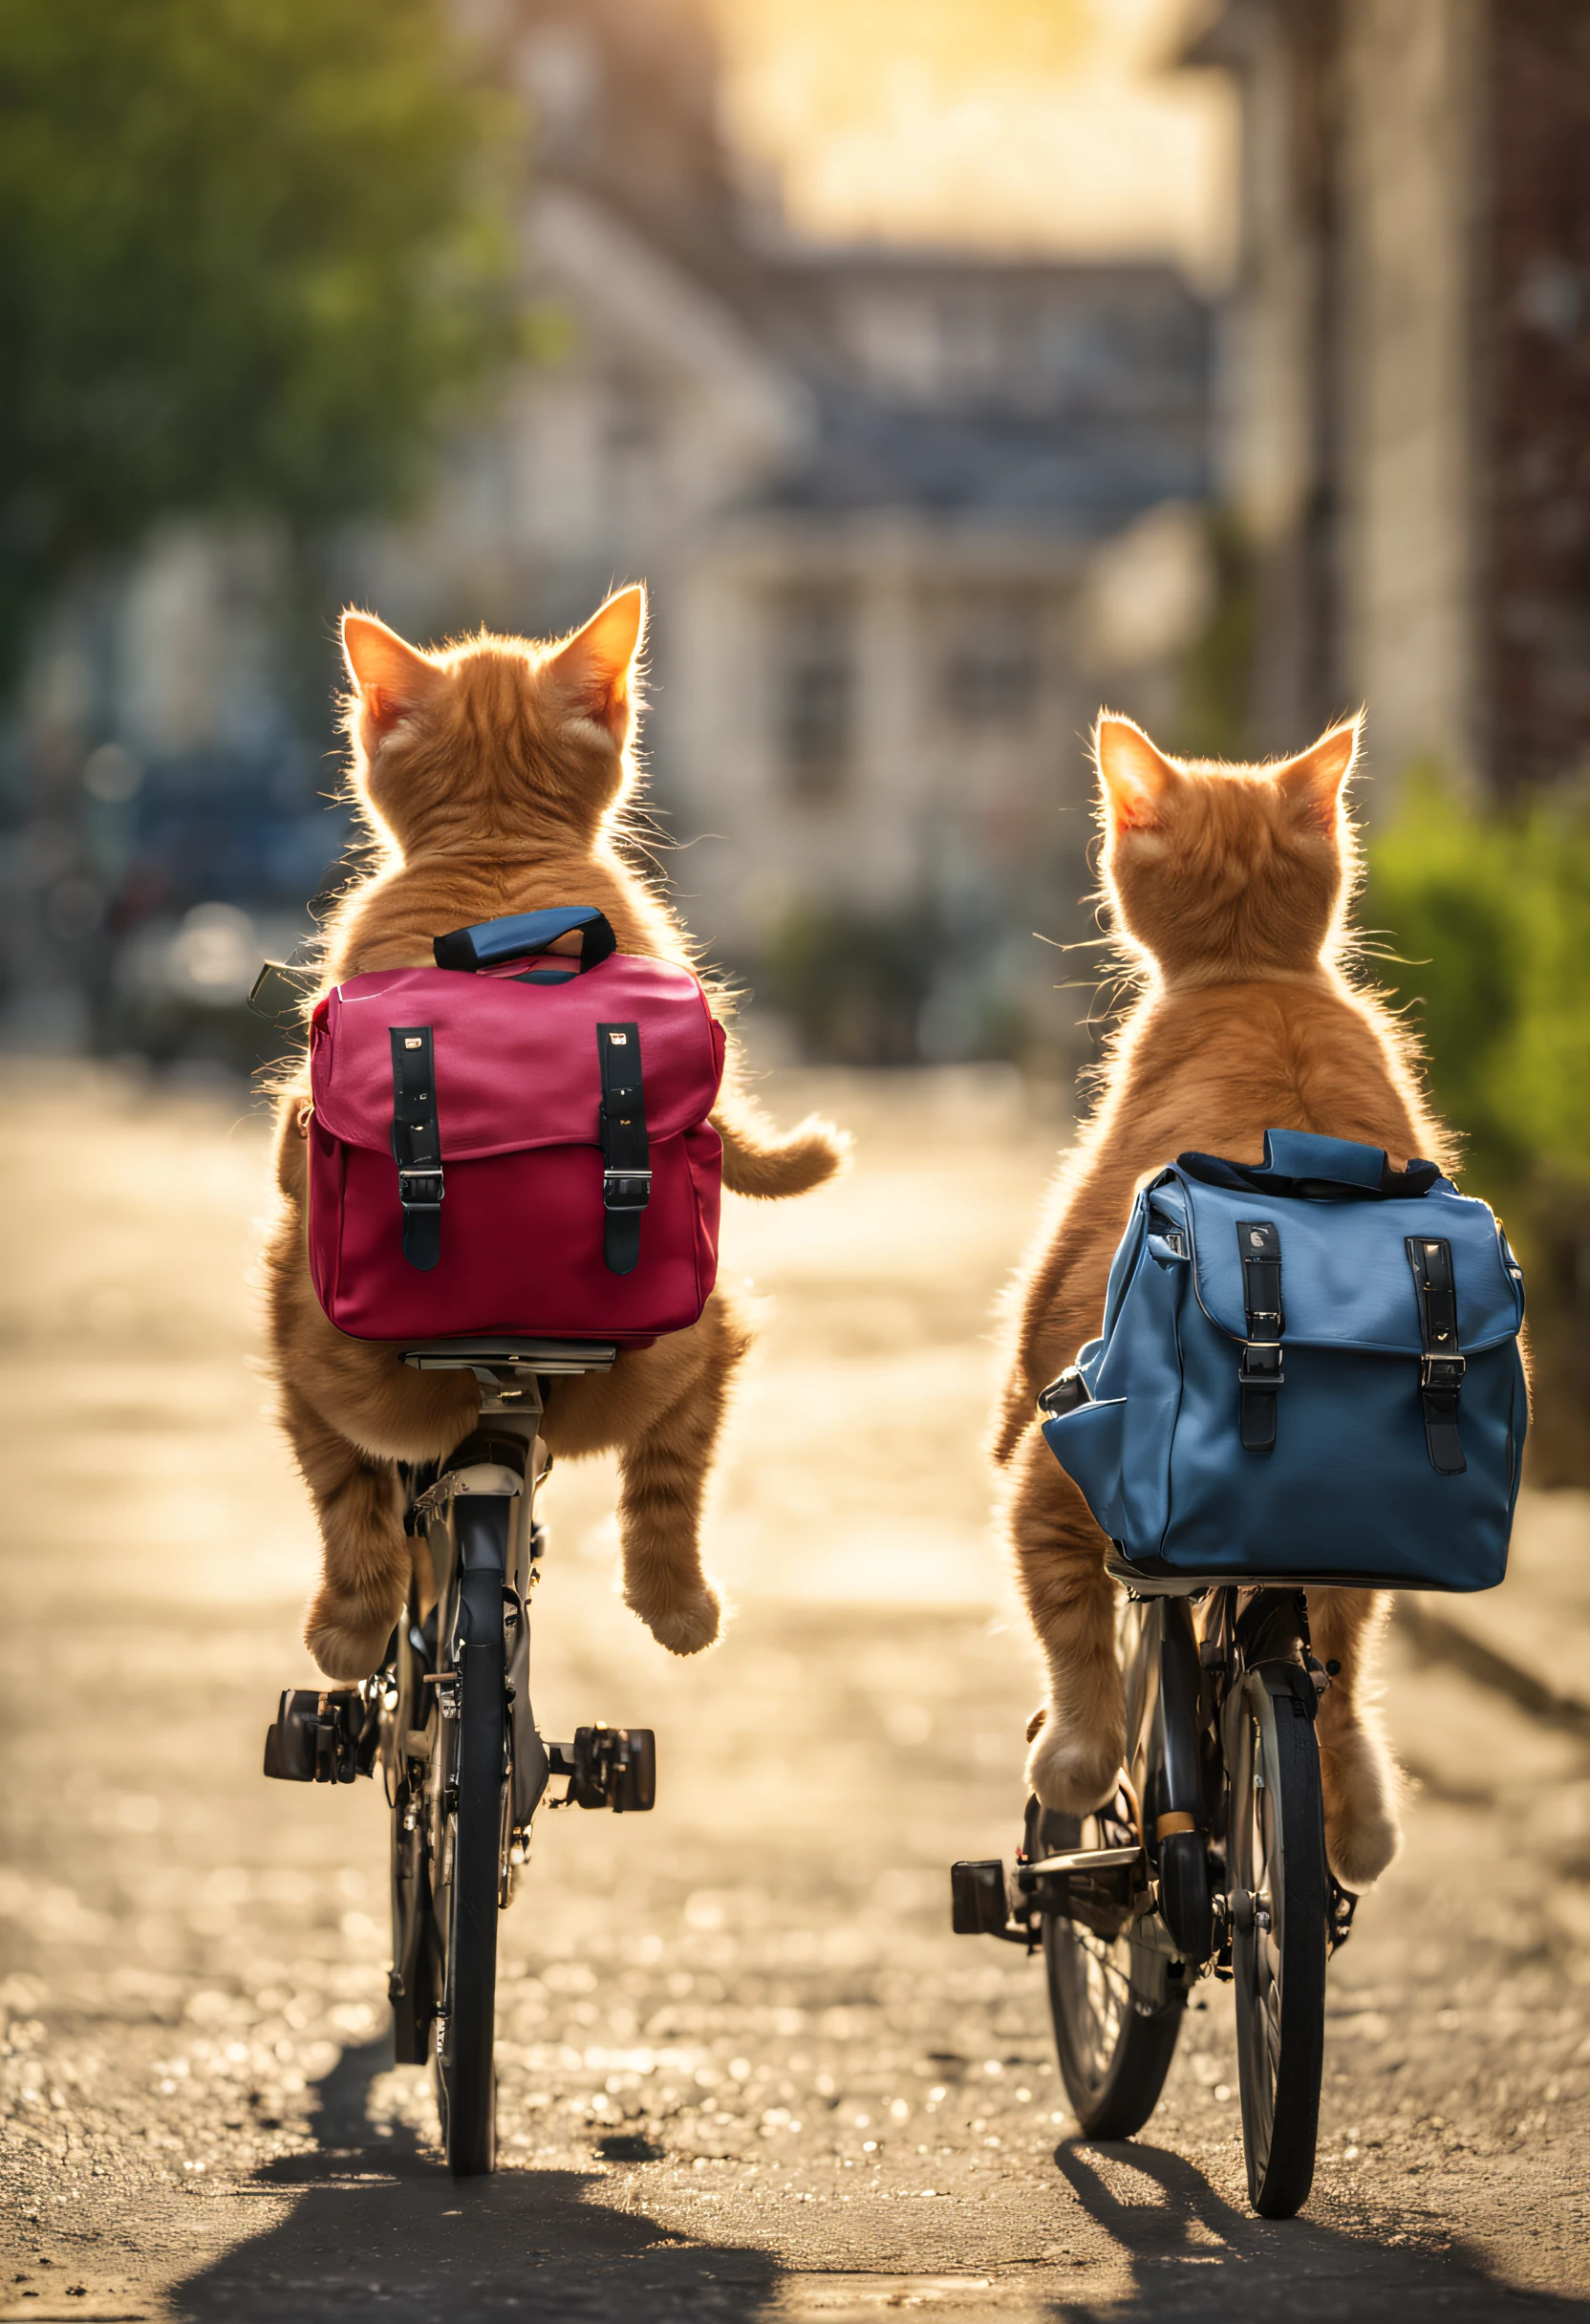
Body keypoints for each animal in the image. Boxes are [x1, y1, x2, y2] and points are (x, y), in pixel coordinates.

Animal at [264, 578, 846, 1673]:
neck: (497, 852)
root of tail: (503, 1352)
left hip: (302, 1329)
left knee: (352, 1495)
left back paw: (357, 1629)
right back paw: (671, 1604)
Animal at [999, 716, 1450, 1896]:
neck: (1254, 974)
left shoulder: (1090, 1184)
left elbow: (1023, 1320)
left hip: (1057, 1488)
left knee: (1079, 1643)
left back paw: (1073, 1762)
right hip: (1342, 1592)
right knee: (1337, 1679)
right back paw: (1360, 1826)